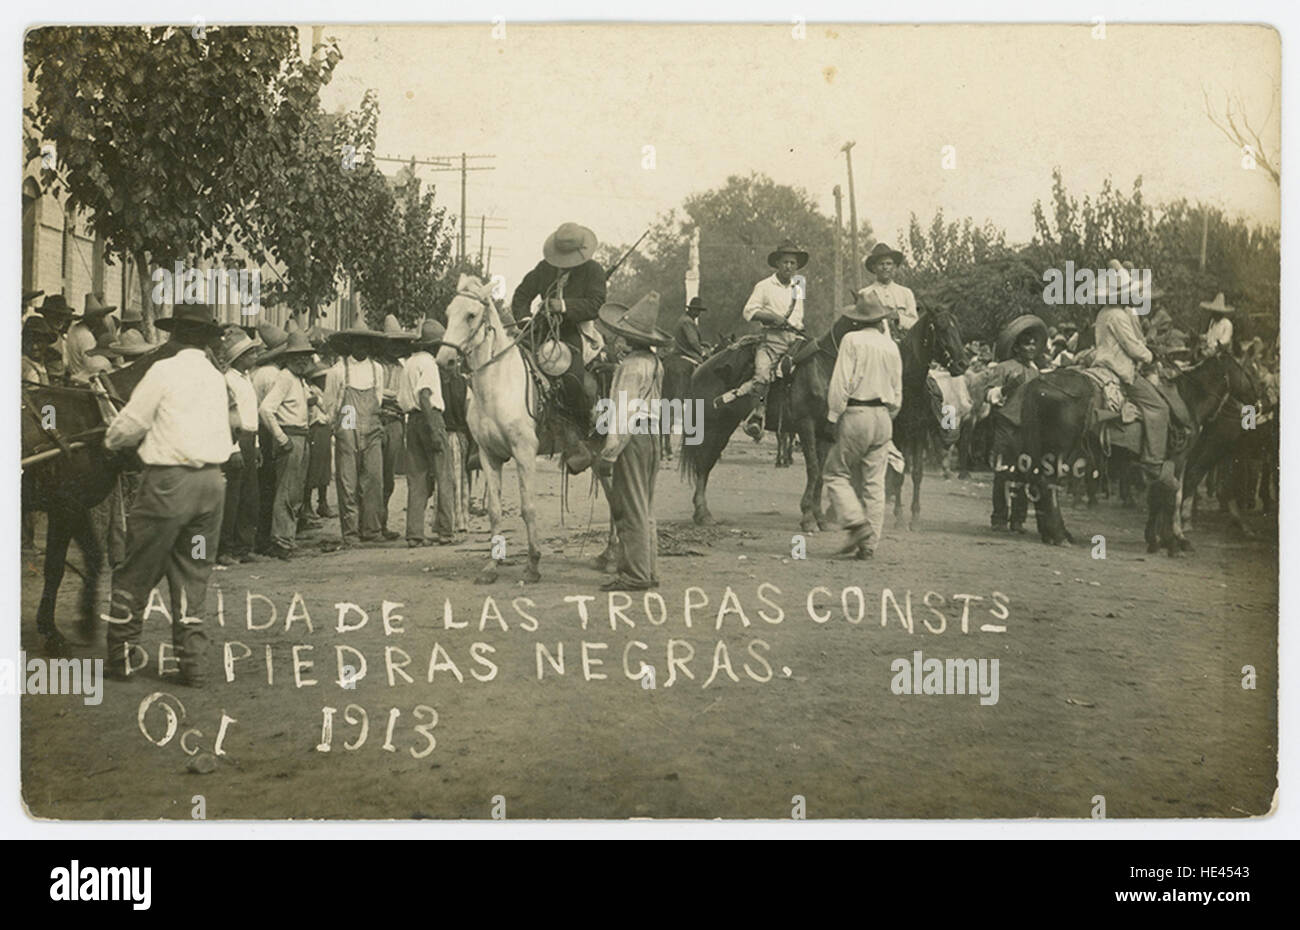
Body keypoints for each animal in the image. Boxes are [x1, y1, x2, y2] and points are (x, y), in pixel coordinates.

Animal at [434, 274, 540, 582]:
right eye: (448, 313)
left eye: (471, 315)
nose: (444, 360)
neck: (498, 386)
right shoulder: (488, 455)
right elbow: (494, 510)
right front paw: (492, 566)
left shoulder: (525, 452)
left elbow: (528, 507)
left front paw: (533, 564)